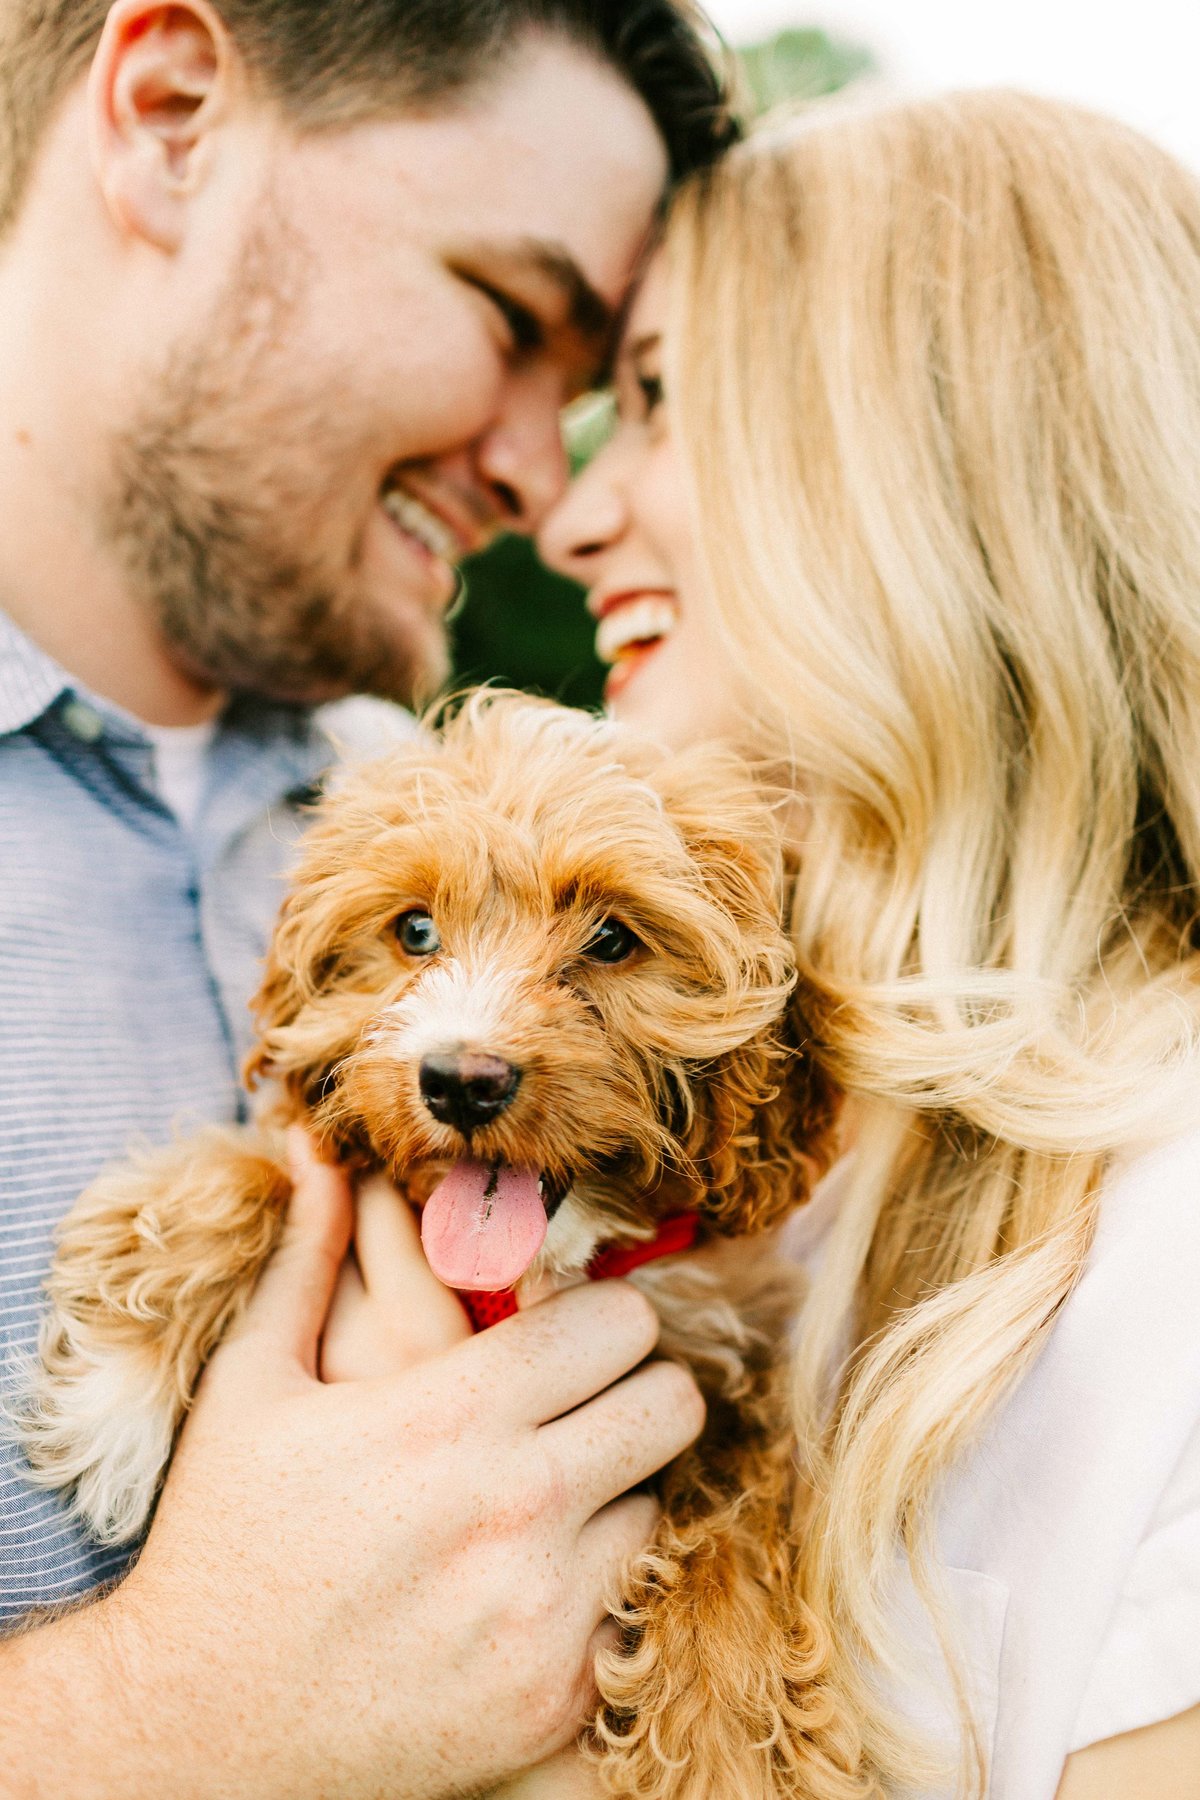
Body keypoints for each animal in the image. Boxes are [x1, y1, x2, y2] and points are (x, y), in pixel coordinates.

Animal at [18, 691, 849, 1800]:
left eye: (614, 939)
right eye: (415, 930)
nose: (461, 1080)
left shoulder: (731, 1364)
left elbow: (737, 1531)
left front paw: (727, 1742)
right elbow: (265, 1167)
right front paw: (118, 1396)